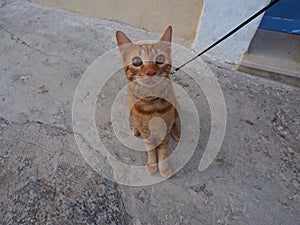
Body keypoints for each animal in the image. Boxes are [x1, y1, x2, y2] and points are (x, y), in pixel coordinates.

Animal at [116, 26, 179, 178]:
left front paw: (163, 168)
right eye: (137, 61)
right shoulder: (146, 133)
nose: (150, 72)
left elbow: (163, 151)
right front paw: (152, 164)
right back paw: (135, 128)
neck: (152, 105)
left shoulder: (165, 129)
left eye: (160, 59)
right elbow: (151, 149)